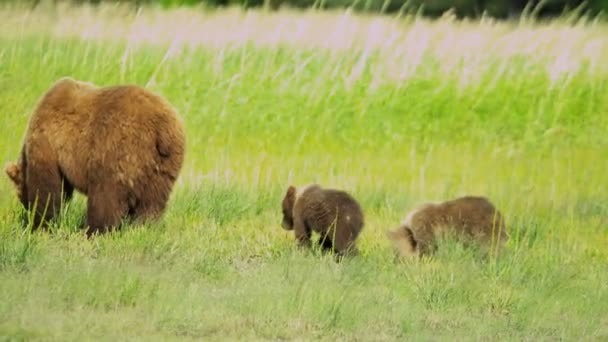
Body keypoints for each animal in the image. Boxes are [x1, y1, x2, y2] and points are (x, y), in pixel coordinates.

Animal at [4, 78, 185, 236]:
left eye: (20, 195)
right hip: (163, 165)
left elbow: (47, 188)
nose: (24, 209)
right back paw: (143, 229)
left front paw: (40, 224)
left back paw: (93, 231)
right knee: (152, 202)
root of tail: (161, 129)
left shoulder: (46, 143)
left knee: (106, 197)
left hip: (116, 151)